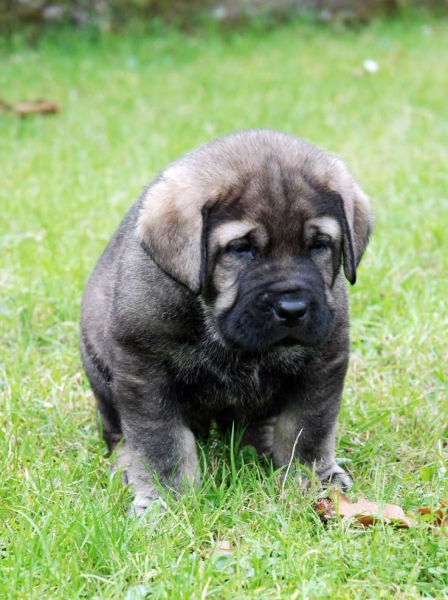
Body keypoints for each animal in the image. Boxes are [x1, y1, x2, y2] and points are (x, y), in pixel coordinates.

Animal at [79, 130, 372, 516]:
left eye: (320, 244)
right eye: (240, 248)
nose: (293, 309)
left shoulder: (323, 362)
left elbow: (308, 429)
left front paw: (314, 478)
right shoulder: (144, 373)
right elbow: (160, 442)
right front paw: (164, 497)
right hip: (101, 376)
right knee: (118, 434)